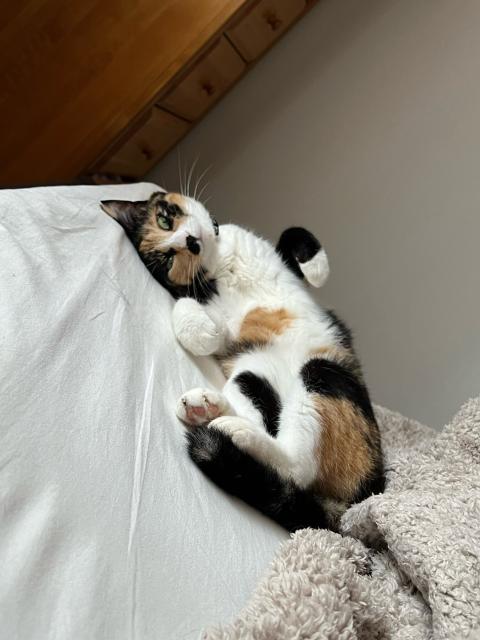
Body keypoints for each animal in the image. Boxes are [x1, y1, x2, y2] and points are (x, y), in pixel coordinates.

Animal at [100, 190, 382, 528]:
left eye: (164, 219)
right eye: (168, 259)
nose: (191, 241)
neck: (220, 259)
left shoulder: (276, 256)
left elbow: (294, 233)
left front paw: (317, 270)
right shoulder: (221, 324)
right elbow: (189, 310)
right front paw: (201, 331)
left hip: (305, 374)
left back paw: (214, 416)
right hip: (288, 372)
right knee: (296, 466)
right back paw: (220, 420)